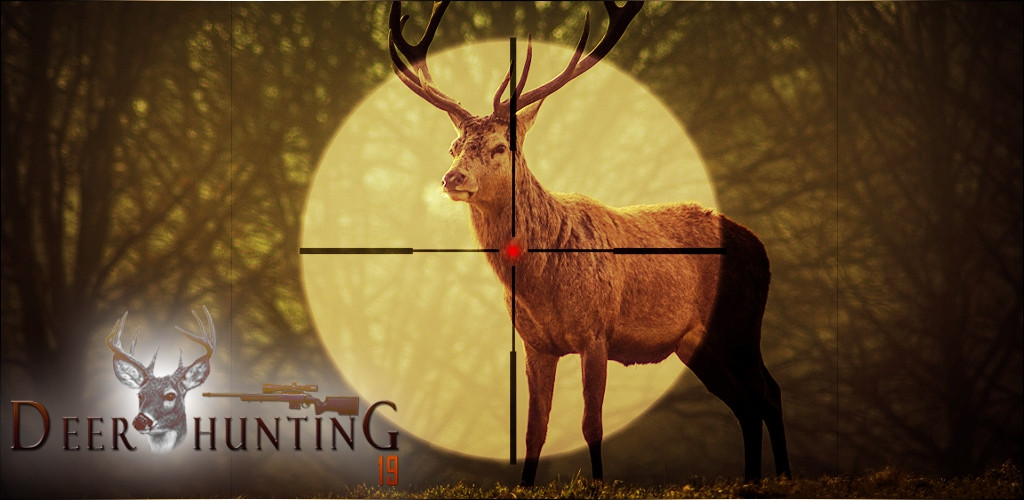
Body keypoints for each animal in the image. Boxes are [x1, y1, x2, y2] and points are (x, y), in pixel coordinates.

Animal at [387, 1, 791, 486]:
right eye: (453, 146)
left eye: (502, 146)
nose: (452, 178)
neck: (544, 281)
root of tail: (761, 247)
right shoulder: (535, 342)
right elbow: (534, 428)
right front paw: (525, 485)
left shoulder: (597, 330)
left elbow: (591, 424)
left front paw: (598, 484)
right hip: (699, 343)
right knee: (745, 404)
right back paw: (752, 481)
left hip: (740, 322)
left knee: (768, 392)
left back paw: (784, 477)